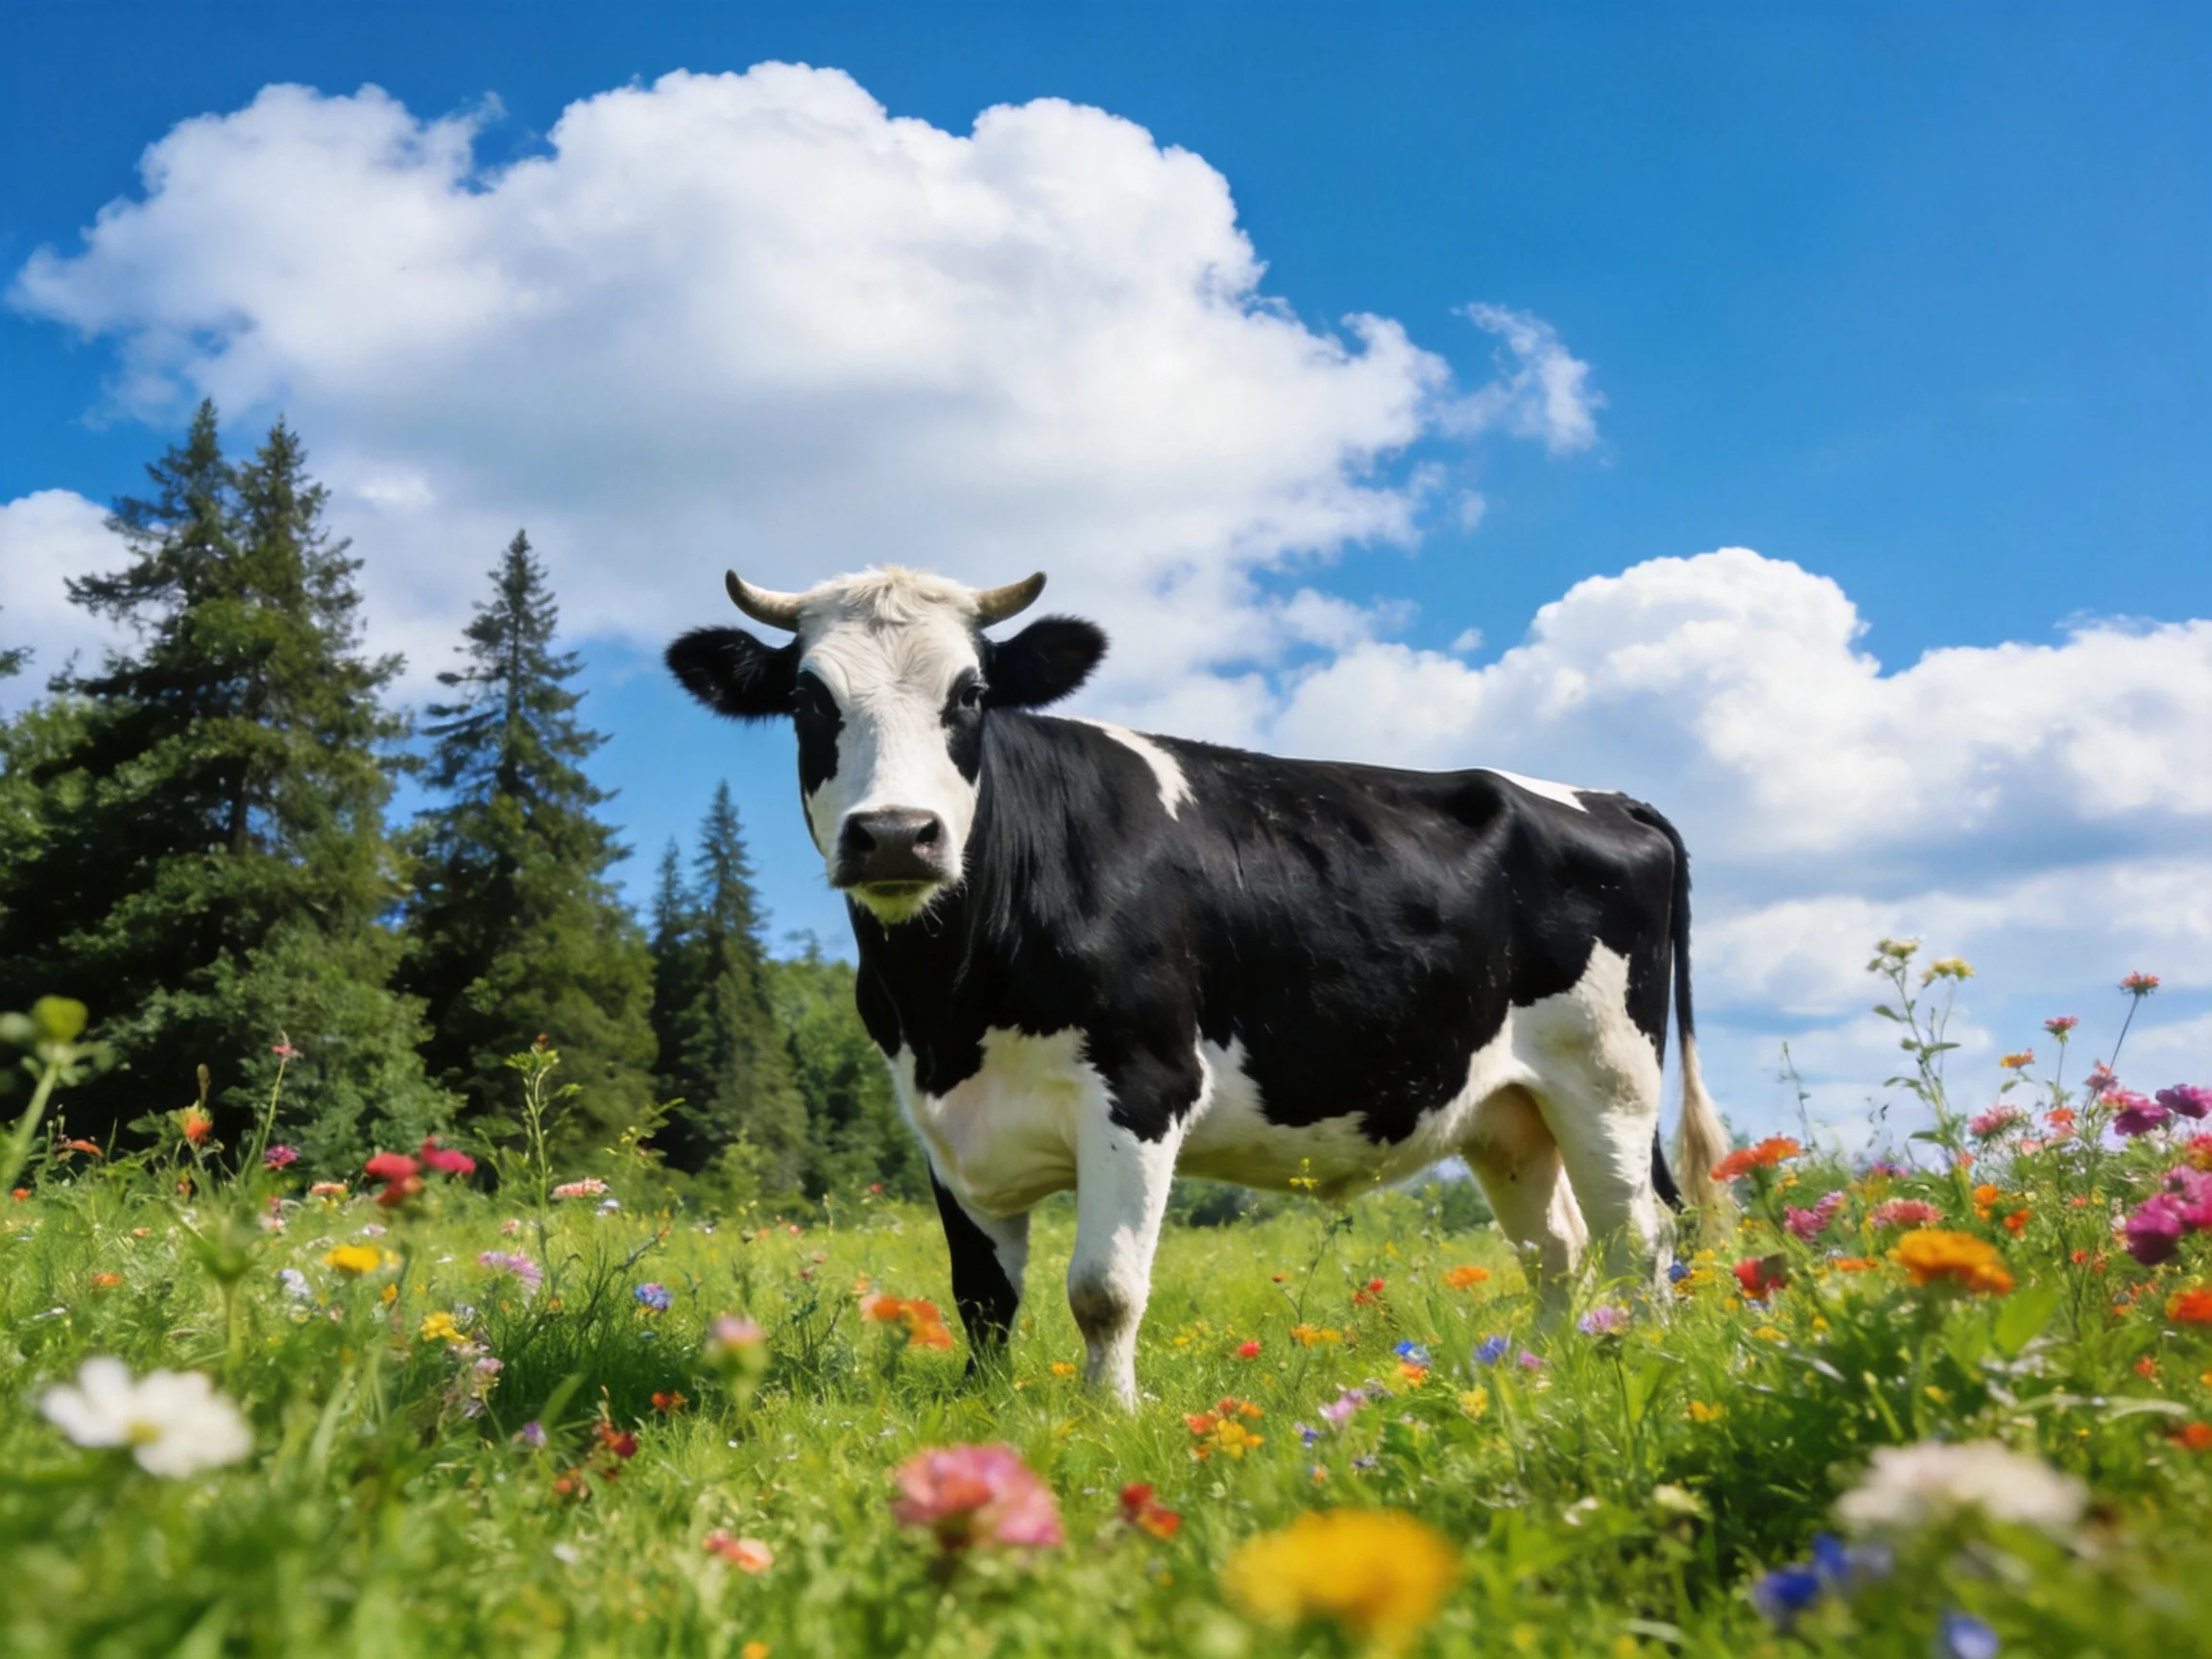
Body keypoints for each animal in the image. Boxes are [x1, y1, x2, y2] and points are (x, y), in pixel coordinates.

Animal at [667, 566, 1728, 1405]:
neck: (951, 1000)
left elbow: (1102, 1289)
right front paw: (986, 1411)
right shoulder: (943, 1119)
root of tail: (1602, 796)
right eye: (811, 700)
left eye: (968, 696)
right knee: (1556, 1247)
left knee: (1640, 1237)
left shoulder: (1142, 1086)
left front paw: (1110, 1418)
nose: (895, 835)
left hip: (1608, 1080)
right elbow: (982, 1294)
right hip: (1508, 1111)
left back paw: (1647, 1366)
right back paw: (1538, 1370)